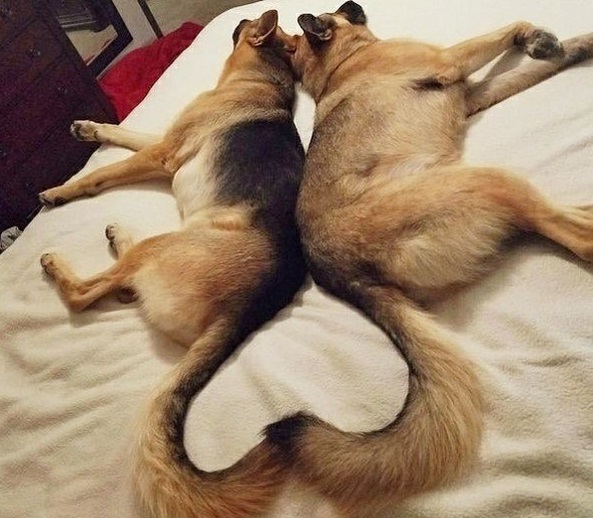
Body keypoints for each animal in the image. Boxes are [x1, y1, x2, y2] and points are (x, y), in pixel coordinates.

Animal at [39, 11, 306, 518]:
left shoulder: (162, 153)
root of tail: (248, 310)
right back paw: (117, 242)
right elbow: (122, 133)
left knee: (88, 293)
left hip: (161, 247)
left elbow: (101, 174)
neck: (262, 80)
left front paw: (60, 191)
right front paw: (89, 129)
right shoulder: (161, 139)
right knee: (121, 286)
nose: (243, 16)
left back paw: (62, 262)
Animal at [258, 2, 592, 516]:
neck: (340, 65)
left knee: (559, 221)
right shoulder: (449, 60)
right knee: (574, 235)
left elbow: (542, 64)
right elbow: (507, 28)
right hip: (486, 180)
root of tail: (343, 275)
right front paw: (532, 36)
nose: (353, 4)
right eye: (338, 10)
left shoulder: (474, 92)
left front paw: (576, 43)